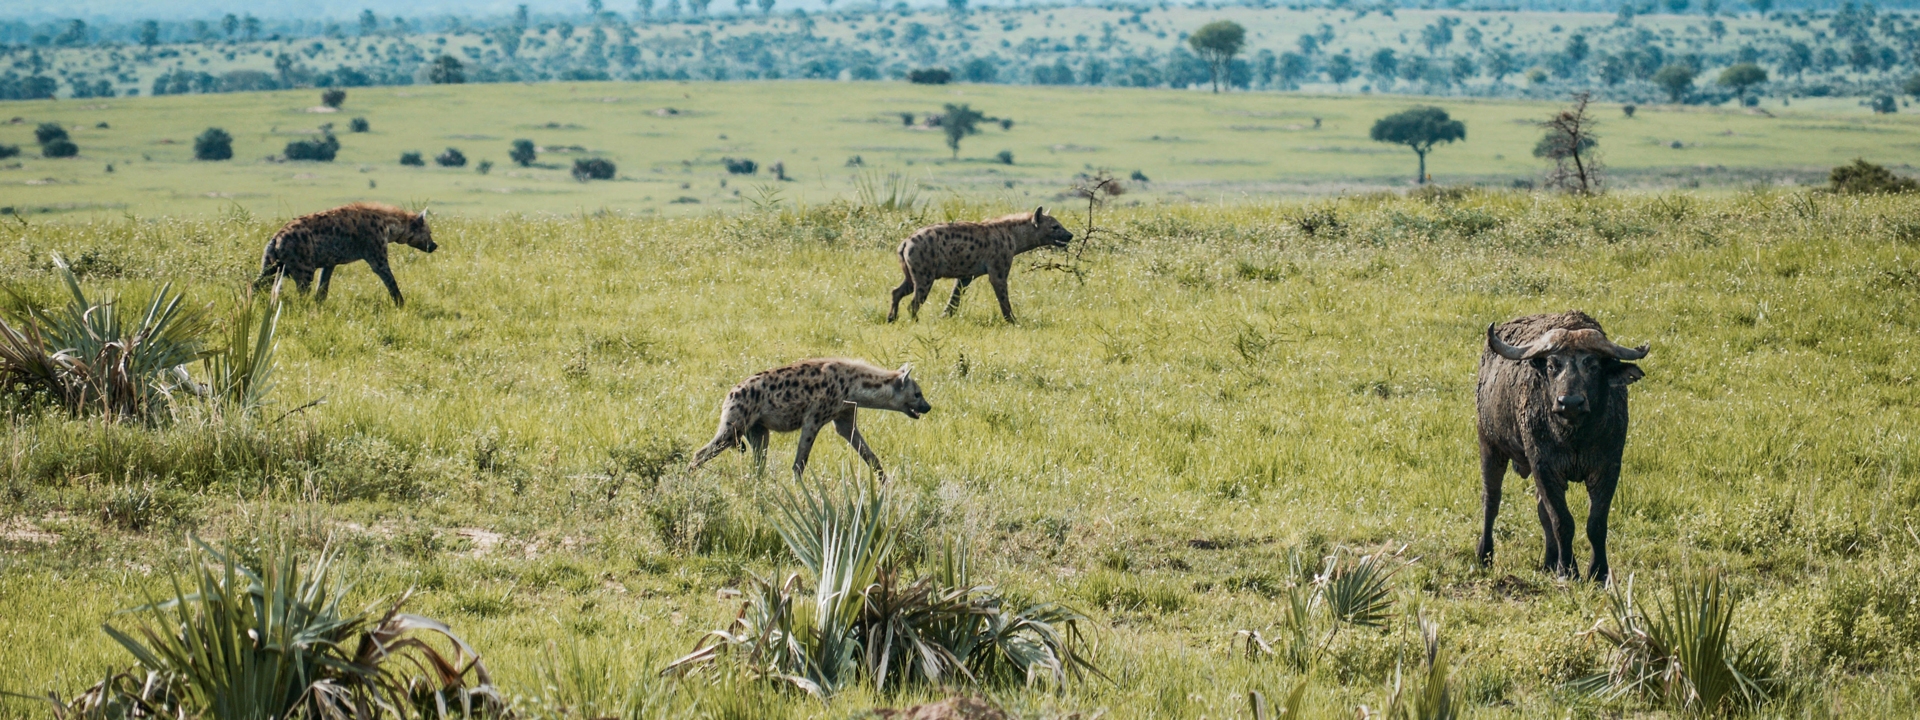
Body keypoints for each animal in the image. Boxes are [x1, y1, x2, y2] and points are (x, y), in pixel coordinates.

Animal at [1474, 312, 1643, 583]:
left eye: (1592, 365)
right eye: (1553, 366)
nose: (1570, 403)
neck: (1575, 437)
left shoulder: (1608, 467)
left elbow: (1596, 523)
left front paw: (1598, 572)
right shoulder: (1544, 466)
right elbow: (1562, 521)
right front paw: (1568, 570)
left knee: (1541, 509)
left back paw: (1550, 561)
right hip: (1489, 444)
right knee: (1491, 500)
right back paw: (1484, 554)